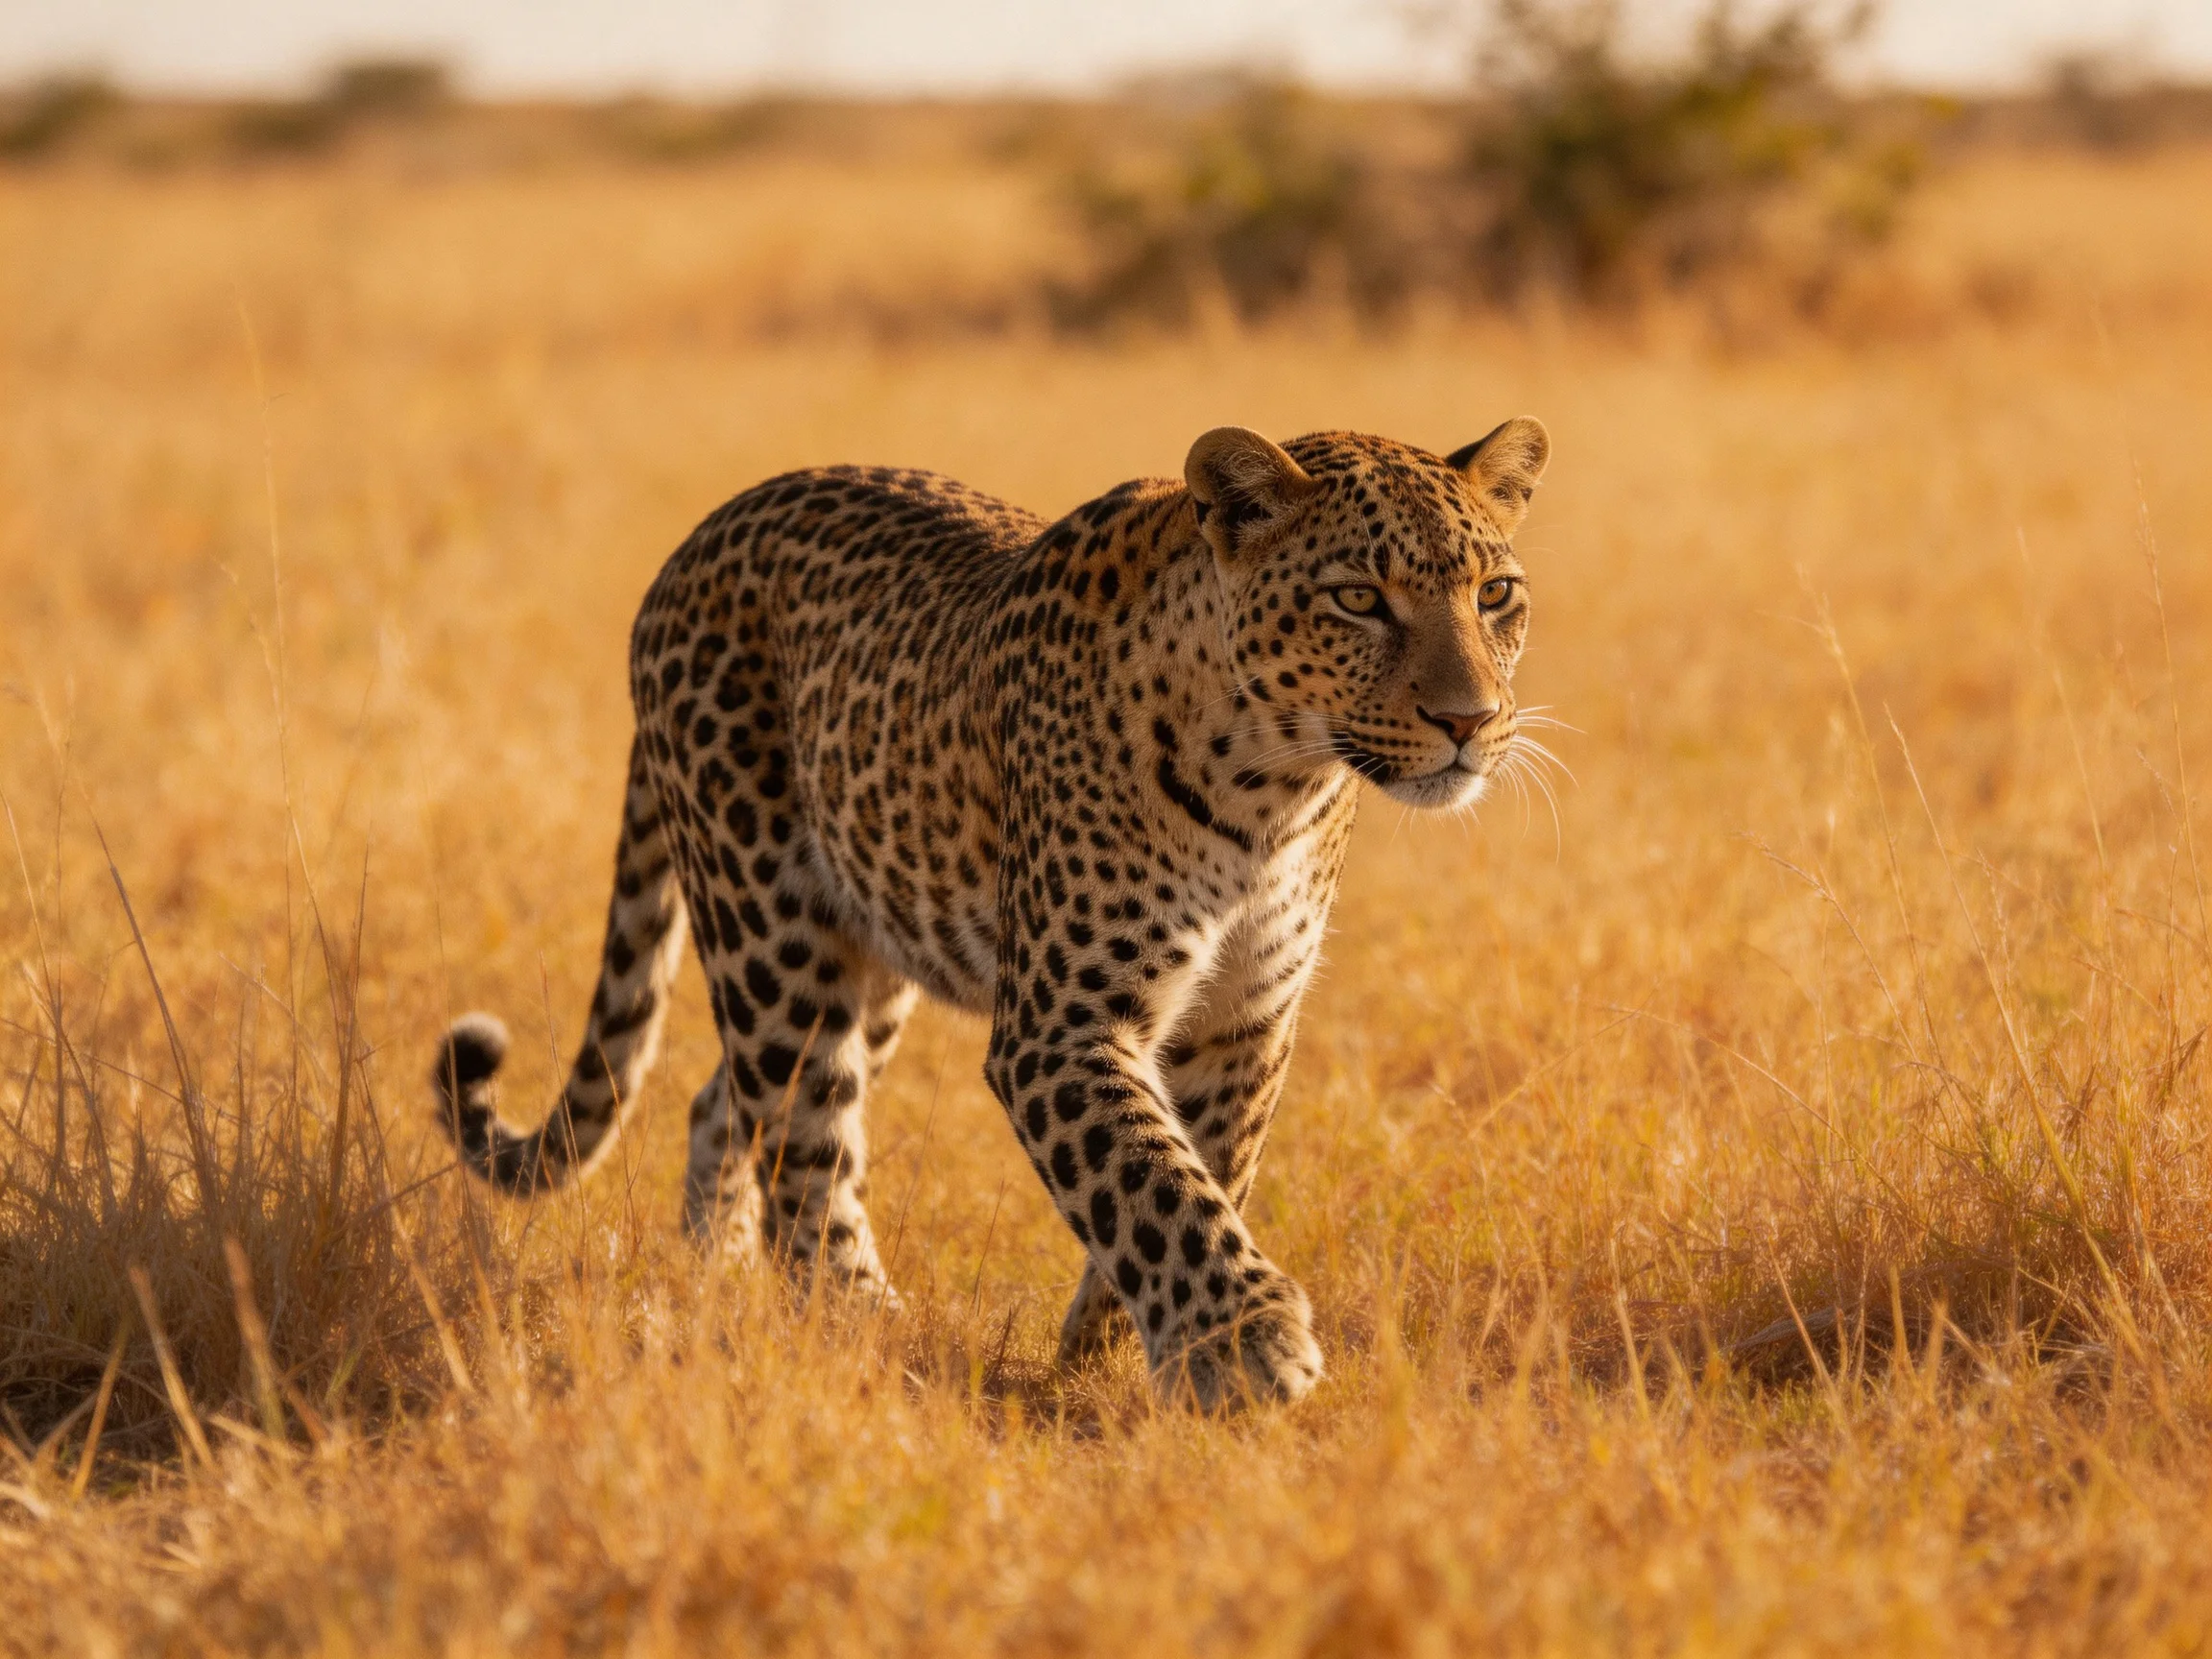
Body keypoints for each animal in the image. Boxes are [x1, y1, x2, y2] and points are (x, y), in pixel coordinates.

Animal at [432, 416, 1551, 1409]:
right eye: (1359, 599)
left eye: (1495, 594)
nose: (1471, 721)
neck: (1274, 789)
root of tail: (694, 541)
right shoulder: (1064, 1022)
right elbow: (1150, 1183)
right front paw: (1244, 1342)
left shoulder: (1246, 1021)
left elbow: (1204, 1170)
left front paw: (1110, 1356)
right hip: (769, 930)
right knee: (800, 1133)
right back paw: (855, 1321)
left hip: (879, 935)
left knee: (729, 1102)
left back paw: (726, 1282)